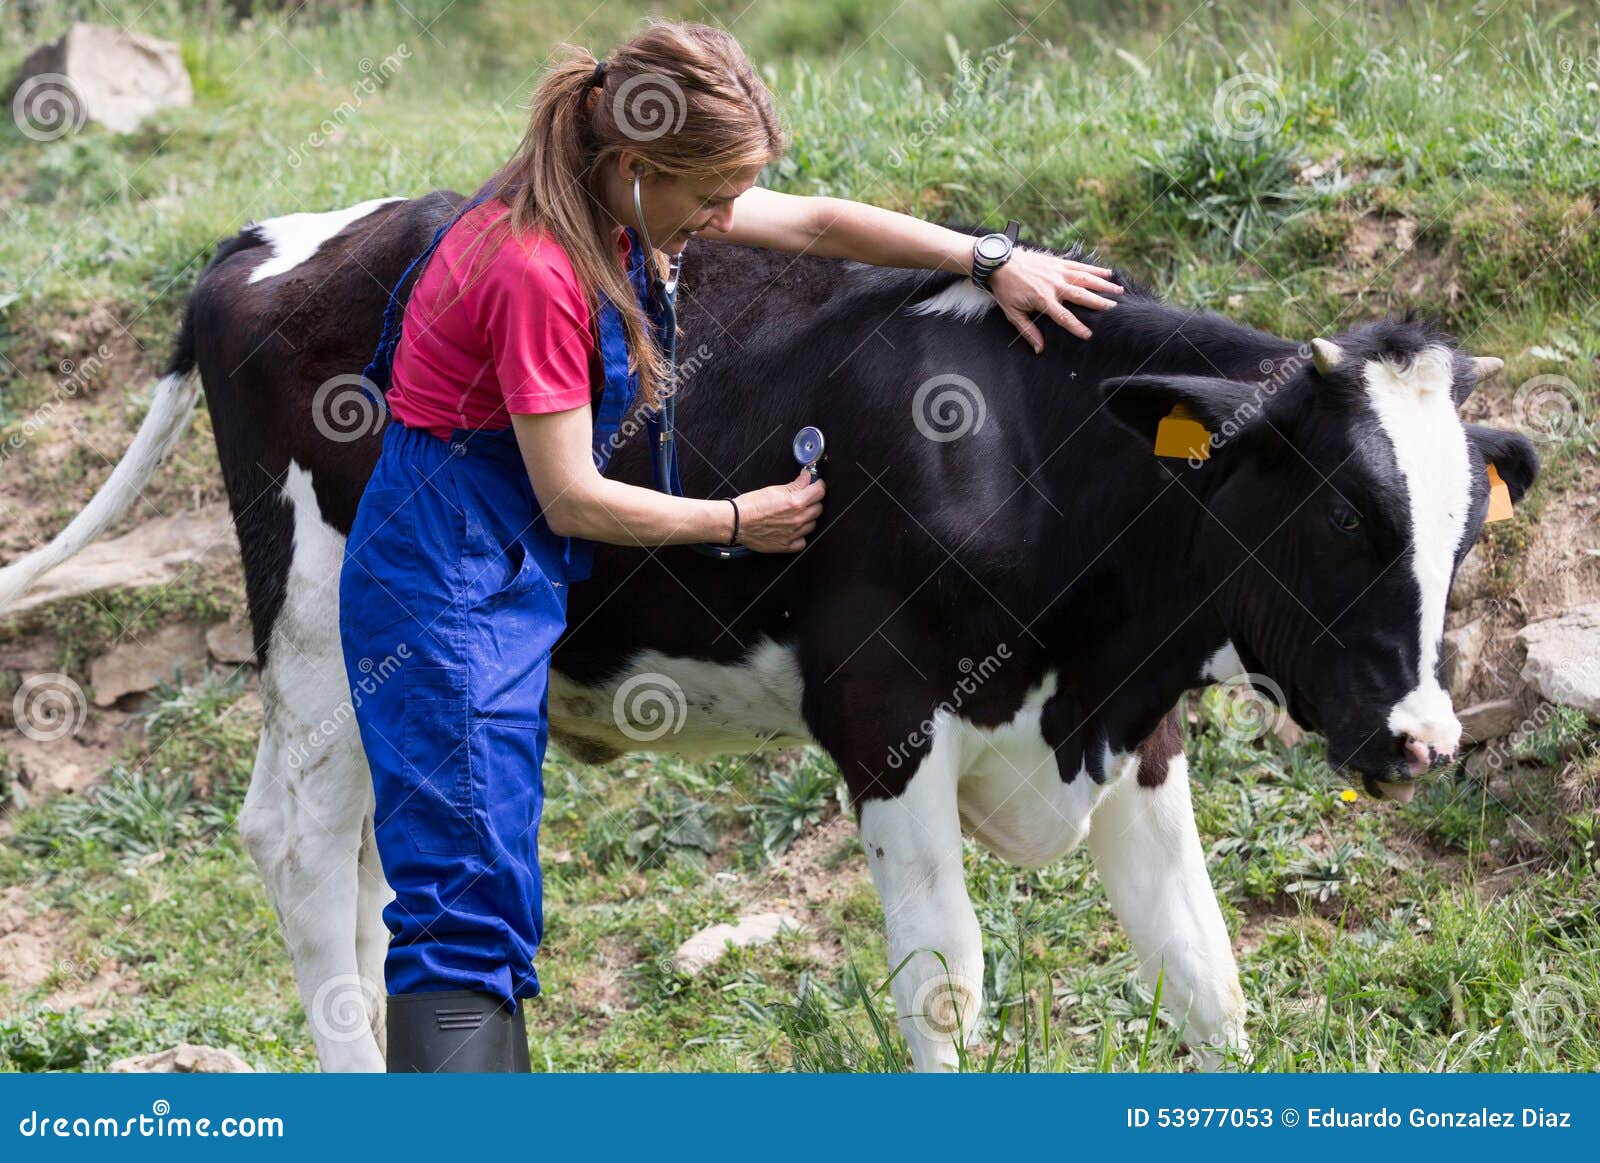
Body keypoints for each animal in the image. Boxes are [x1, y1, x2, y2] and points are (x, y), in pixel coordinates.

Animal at [0, 190, 1538, 1073]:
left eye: (1465, 531)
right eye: (1342, 515)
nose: (1424, 738)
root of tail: (263, 243)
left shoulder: (1130, 723)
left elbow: (1205, 976)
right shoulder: (882, 715)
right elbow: (946, 986)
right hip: (324, 628)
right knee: (301, 840)